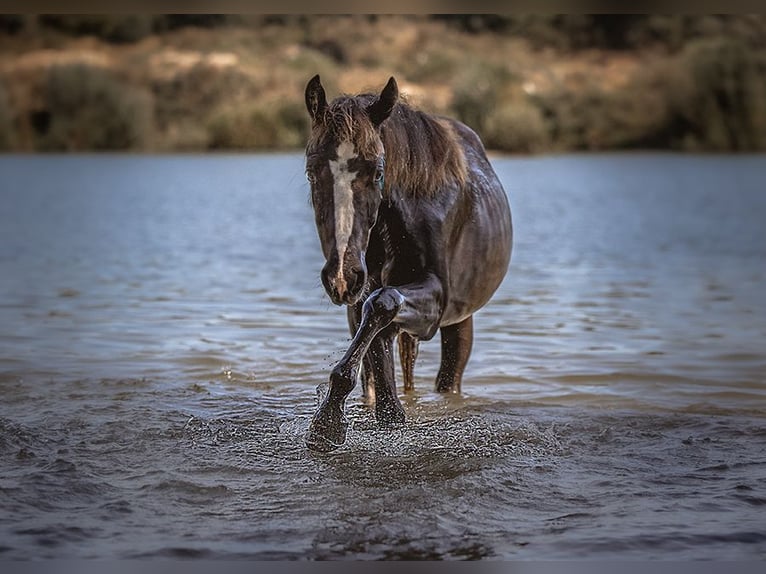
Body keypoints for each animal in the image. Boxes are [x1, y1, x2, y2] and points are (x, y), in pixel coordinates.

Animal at [304, 76, 512, 452]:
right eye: (312, 172)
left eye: (377, 172)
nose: (341, 278)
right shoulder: (364, 295)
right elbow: (375, 332)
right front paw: (338, 420)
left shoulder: (435, 299)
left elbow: (382, 303)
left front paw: (327, 423)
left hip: (459, 323)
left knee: (447, 379)